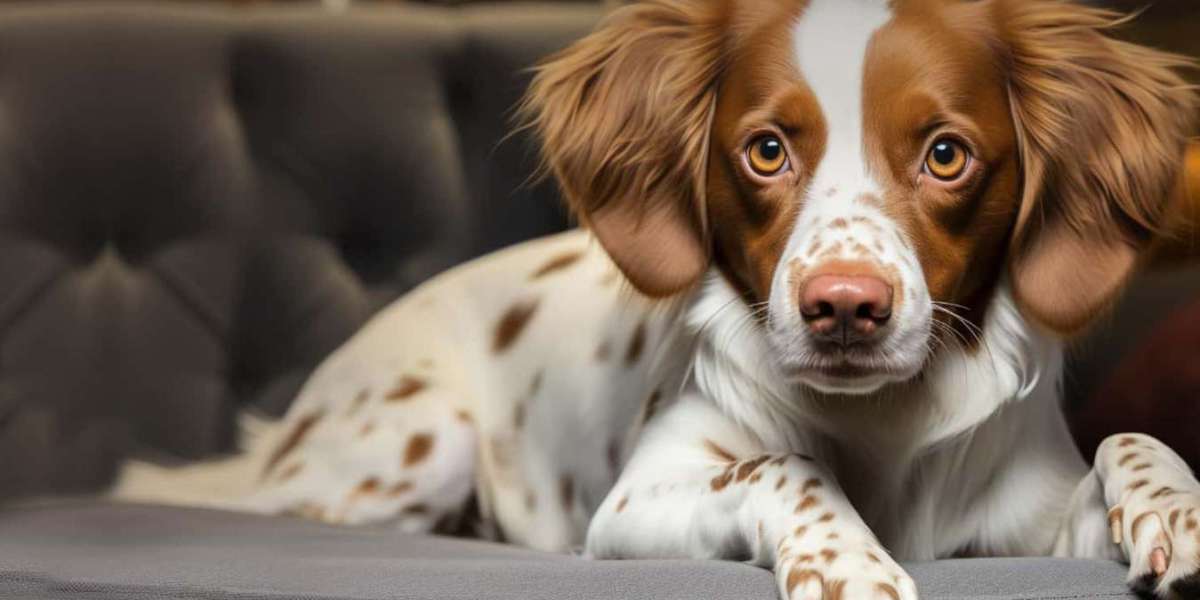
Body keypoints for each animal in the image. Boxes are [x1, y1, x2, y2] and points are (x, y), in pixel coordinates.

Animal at [112, 1, 1200, 600]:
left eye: (945, 154)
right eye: (766, 149)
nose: (845, 307)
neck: (882, 428)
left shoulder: (1028, 525)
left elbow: (1132, 440)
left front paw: (1180, 514)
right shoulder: (633, 507)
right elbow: (785, 462)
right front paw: (843, 560)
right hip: (415, 447)